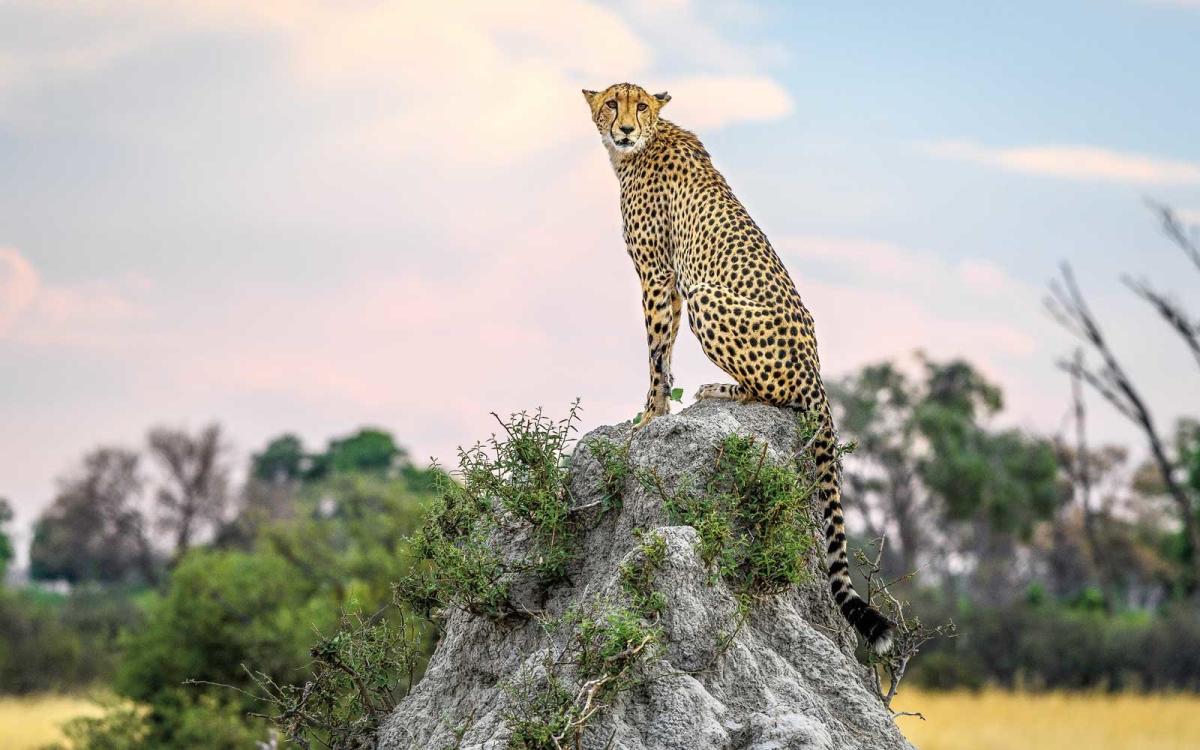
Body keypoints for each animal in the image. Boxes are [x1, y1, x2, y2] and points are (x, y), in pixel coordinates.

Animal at [585, 81, 897, 652]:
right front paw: (652, 411)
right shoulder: (667, 279)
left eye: (641, 106)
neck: (638, 150)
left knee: (770, 393)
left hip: (707, 294)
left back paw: (719, 390)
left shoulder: (659, 274)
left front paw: (650, 416)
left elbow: (656, 352)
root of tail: (817, 372)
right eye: (612, 104)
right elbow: (662, 352)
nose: (625, 128)